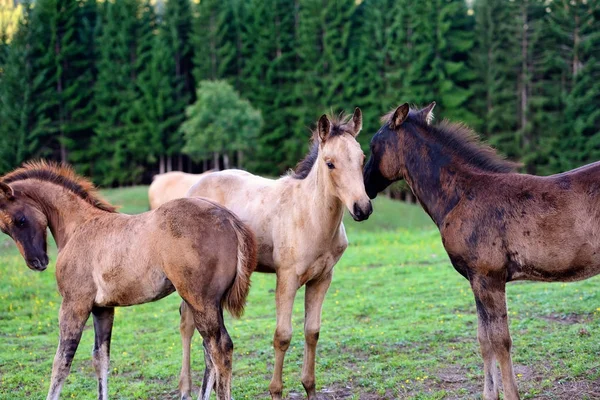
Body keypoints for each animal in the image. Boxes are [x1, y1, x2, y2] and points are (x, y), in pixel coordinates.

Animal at [0, 162, 255, 400]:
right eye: (4, 229)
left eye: (20, 220)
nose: (37, 262)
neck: (79, 227)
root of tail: (228, 218)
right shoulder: (102, 308)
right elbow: (100, 359)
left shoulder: (74, 304)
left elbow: (61, 362)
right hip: (211, 303)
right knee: (210, 352)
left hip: (200, 301)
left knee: (220, 348)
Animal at [178, 109, 372, 400]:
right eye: (330, 163)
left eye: (362, 159)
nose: (362, 208)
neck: (311, 216)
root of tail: (193, 188)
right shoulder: (287, 278)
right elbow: (282, 336)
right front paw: (275, 390)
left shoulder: (322, 278)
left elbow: (312, 332)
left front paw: (309, 387)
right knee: (187, 323)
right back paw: (185, 389)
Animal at [364, 101, 600, 398]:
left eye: (374, 145)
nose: (365, 188)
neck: (460, 196)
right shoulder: (475, 279)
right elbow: (483, 339)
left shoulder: (489, 277)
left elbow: (500, 340)